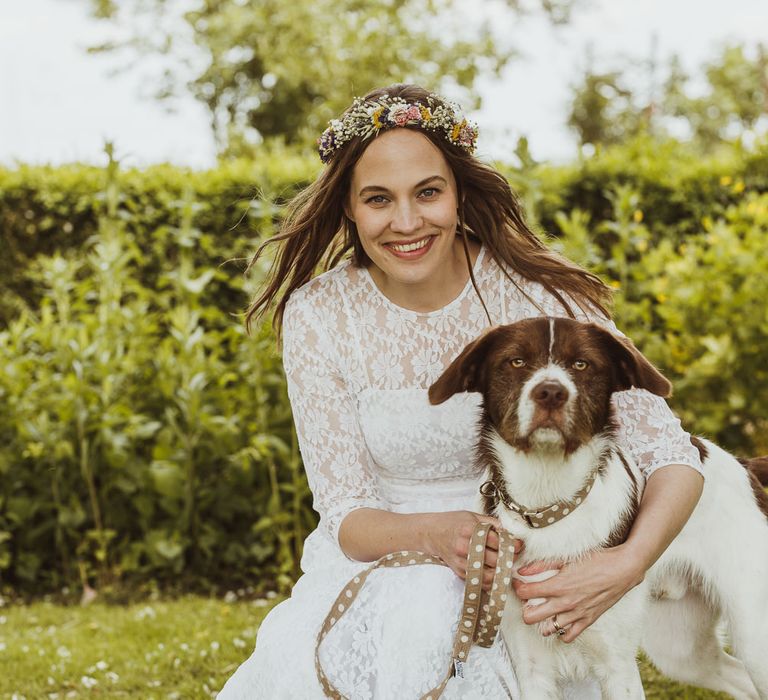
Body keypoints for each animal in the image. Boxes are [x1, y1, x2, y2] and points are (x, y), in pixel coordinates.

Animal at [426, 318, 768, 700]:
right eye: (516, 362)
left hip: (753, 628)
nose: (550, 393)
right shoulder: (531, 666)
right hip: (680, 645)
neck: (547, 505)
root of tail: (743, 463)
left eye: (581, 364)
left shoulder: (617, 666)